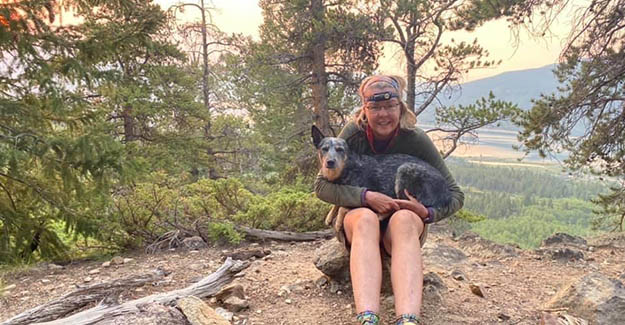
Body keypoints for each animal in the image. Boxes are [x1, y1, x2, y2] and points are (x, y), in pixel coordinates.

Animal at [314, 123, 450, 210]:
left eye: (340, 150)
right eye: (324, 149)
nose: (330, 162)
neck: (348, 168)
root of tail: (446, 192)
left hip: (404, 170)